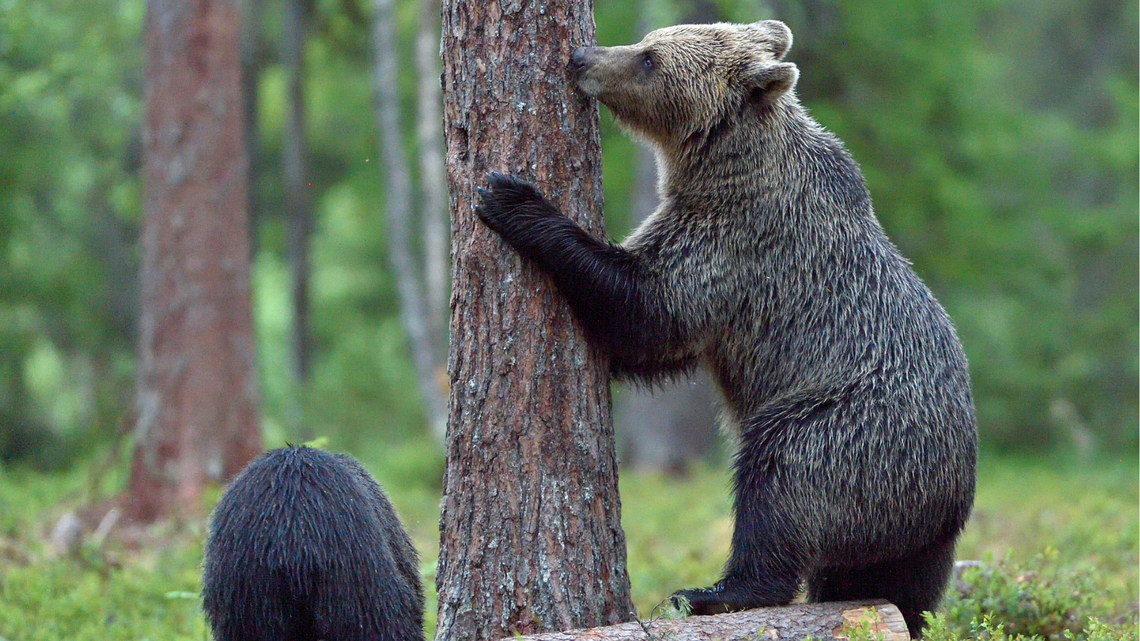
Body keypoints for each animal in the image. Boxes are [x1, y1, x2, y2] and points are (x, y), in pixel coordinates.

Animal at [476, 19, 984, 634]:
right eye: (647, 41)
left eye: (649, 58)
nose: (580, 58)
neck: (726, 167)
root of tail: (950, 489)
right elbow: (647, 347)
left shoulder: (737, 244)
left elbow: (646, 307)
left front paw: (513, 199)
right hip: (919, 536)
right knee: (898, 585)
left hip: (856, 430)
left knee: (780, 477)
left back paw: (713, 592)